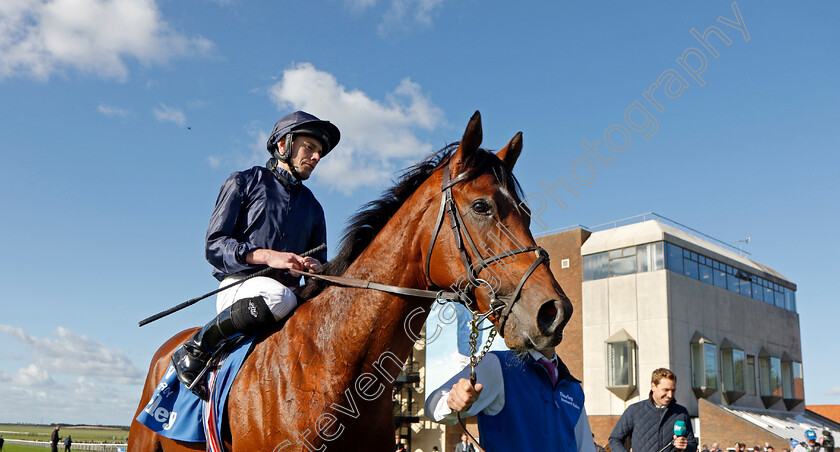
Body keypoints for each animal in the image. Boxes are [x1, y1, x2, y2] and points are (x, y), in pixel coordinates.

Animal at [130, 111, 572, 450]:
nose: (554, 311)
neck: (332, 366)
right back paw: (190, 360)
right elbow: (220, 240)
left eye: (525, 211)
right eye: (481, 206)